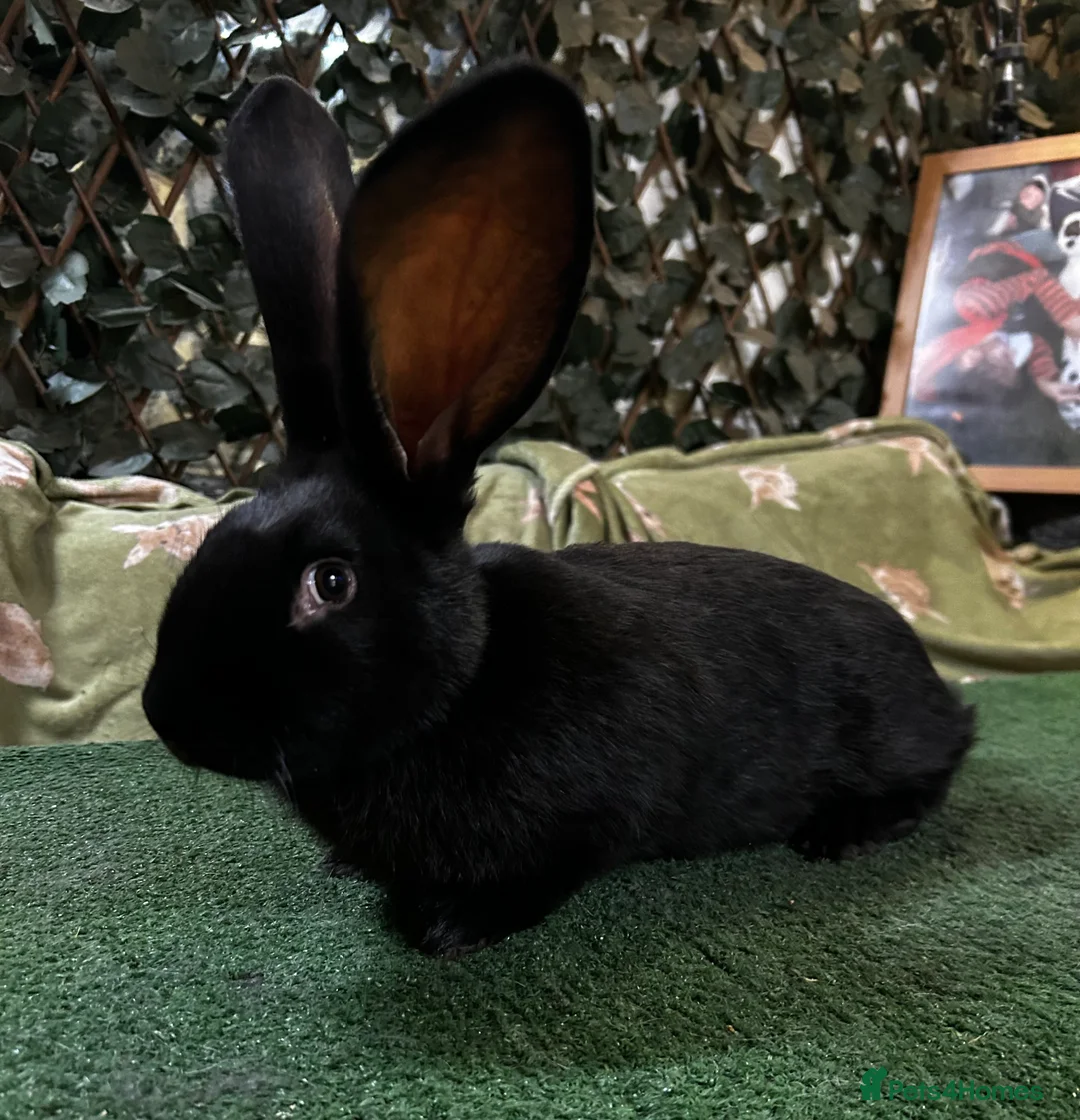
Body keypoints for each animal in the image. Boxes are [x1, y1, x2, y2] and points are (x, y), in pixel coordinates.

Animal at [141, 61, 975, 958]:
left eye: (330, 582)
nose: (165, 715)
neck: (461, 685)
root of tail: (935, 683)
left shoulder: (589, 817)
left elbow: (545, 875)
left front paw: (447, 926)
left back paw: (843, 831)